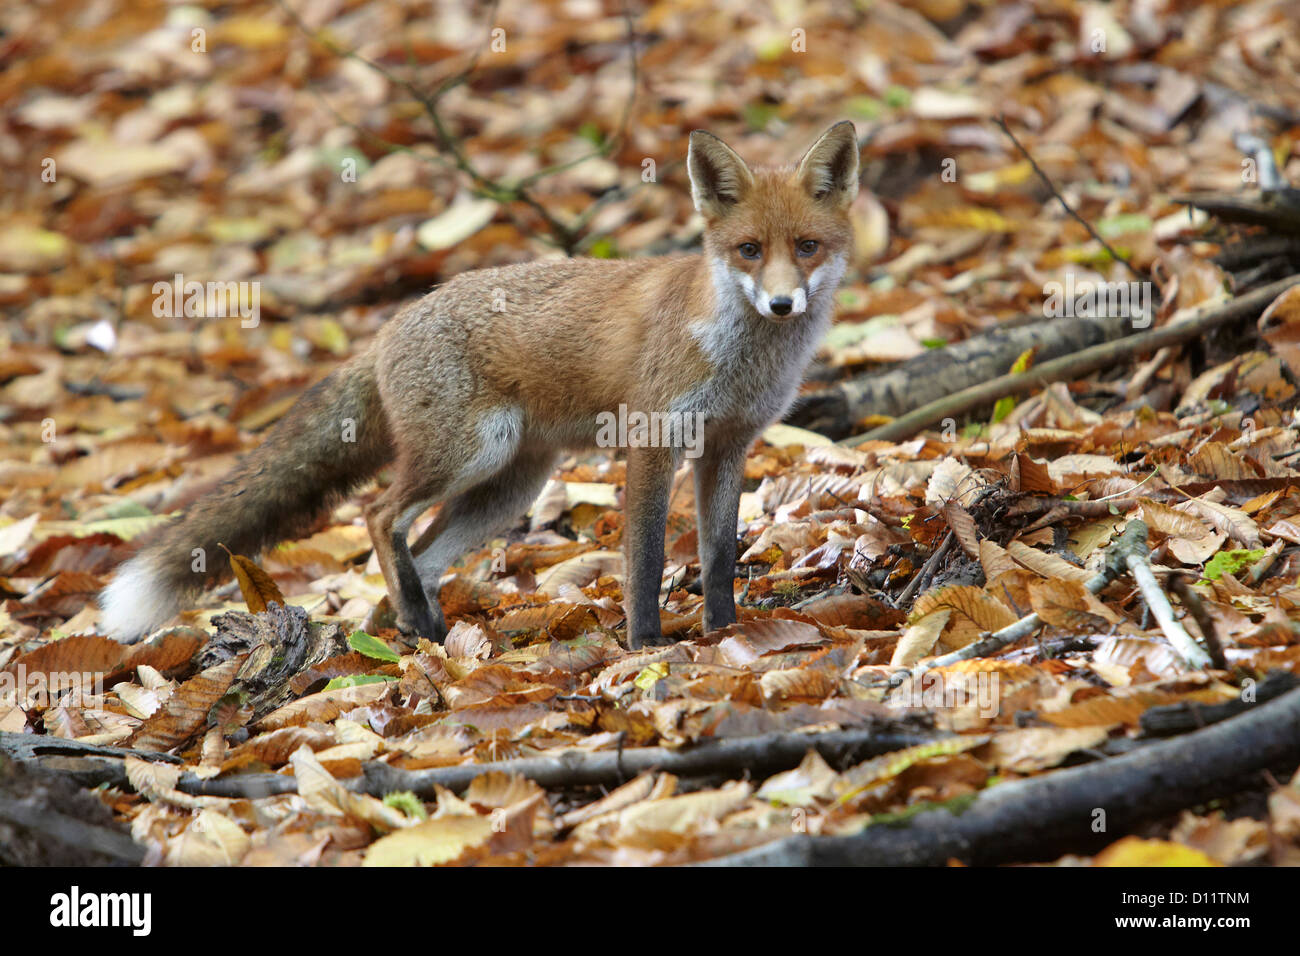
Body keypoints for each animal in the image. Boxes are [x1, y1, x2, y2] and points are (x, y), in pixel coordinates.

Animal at [98, 123, 852, 650]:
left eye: (806, 247)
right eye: (749, 250)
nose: (781, 303)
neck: (737, 351)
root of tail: (387, 328)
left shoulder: (729, 443)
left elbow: (719, 555)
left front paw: (726, 634)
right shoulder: (652, 439)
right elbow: (644, 561)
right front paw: (646, 647)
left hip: (507, 487)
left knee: (424, 554)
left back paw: (422, 635)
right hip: (470, 455)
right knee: (378, 515)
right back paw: (418, 626)